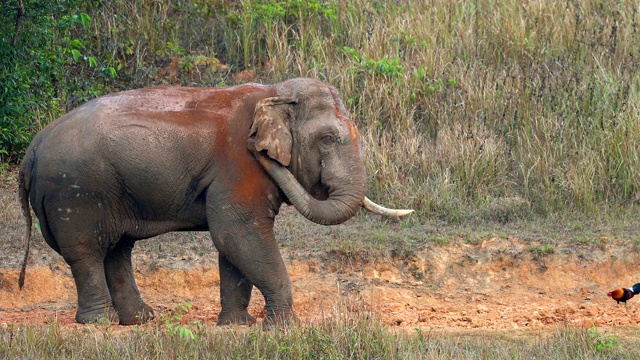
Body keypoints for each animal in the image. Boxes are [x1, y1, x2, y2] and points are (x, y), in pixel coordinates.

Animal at [18, 77, 416, 328]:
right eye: (329, 138)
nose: (259, 150)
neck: (273, 94)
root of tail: (33, 147)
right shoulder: (238, 164)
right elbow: (238, 233)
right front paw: (284, 328)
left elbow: (233, 244)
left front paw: (237, 325)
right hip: (75, 191)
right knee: (87, 251)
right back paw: (98, 324)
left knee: (118, 249)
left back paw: (141, 321)